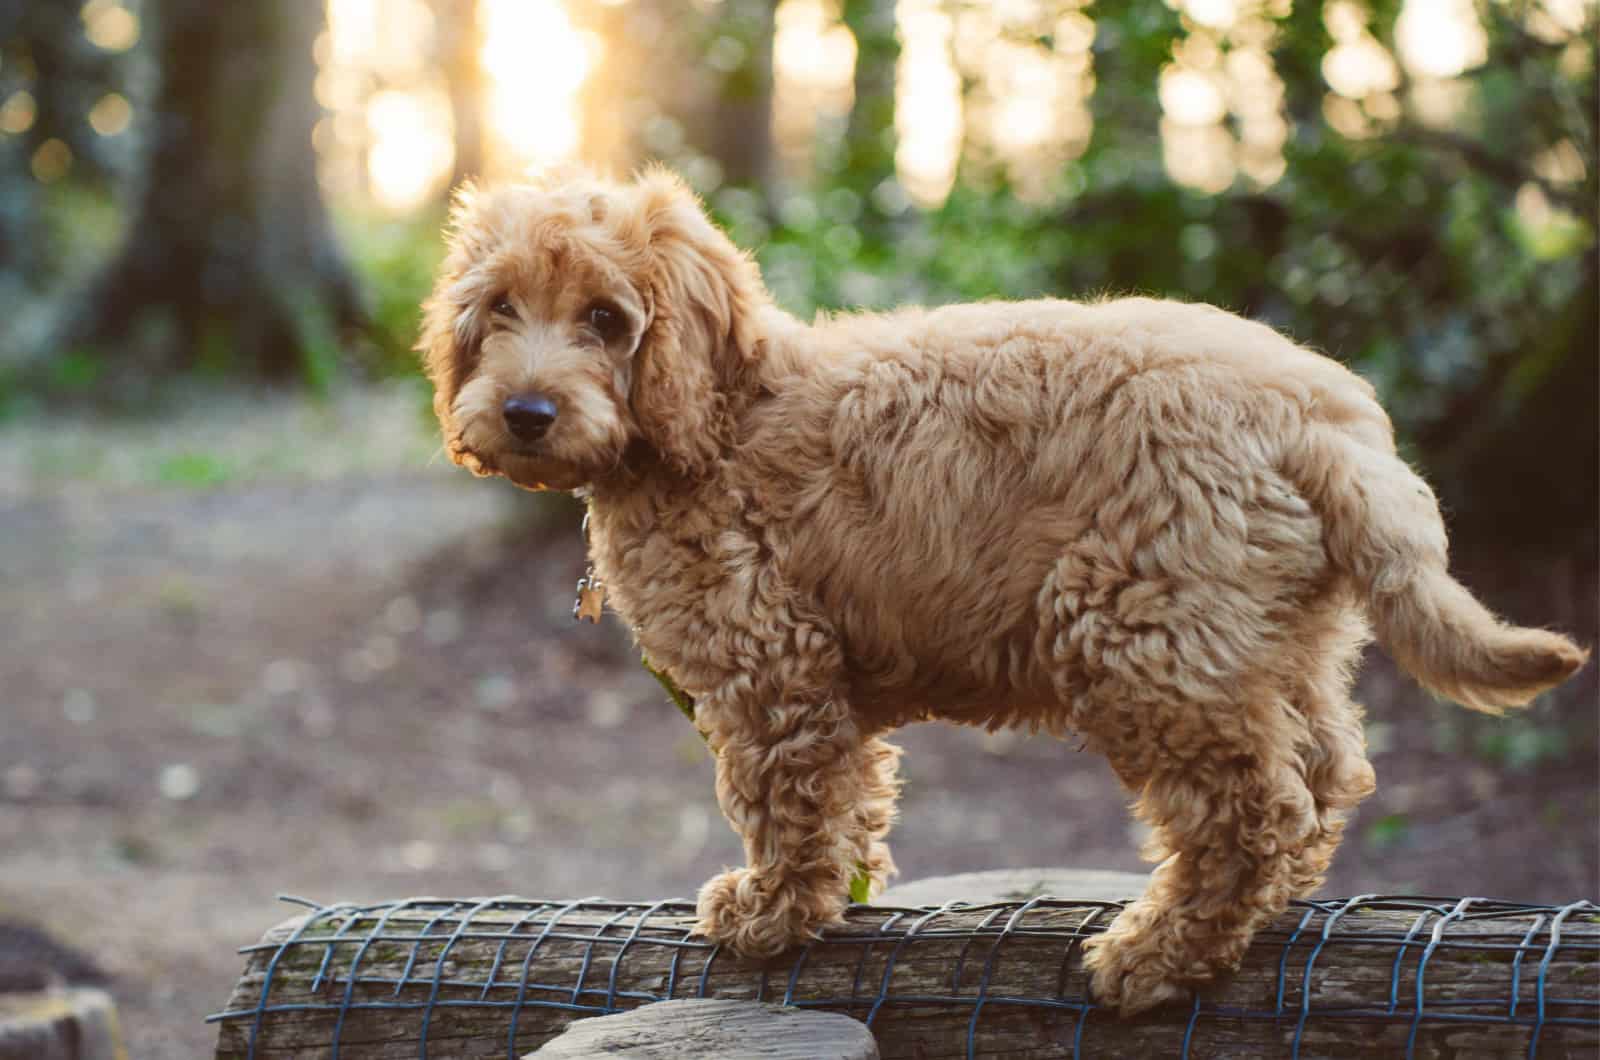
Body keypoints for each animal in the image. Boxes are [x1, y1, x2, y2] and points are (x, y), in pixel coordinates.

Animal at [422, 166, 1587, 1011]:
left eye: (605, 319)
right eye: (499, 310)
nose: (525, 412)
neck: (715, 415)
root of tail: (1318, 418)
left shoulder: (771, 669)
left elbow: (785, 802)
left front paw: (770, 914)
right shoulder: (815, 680)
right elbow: (846, 798)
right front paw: (828, 896)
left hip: (1139, 638)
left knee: (1252, 807)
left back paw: (1155, 955)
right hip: (1259, 638)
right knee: (1326, 771)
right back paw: (1254, 916)